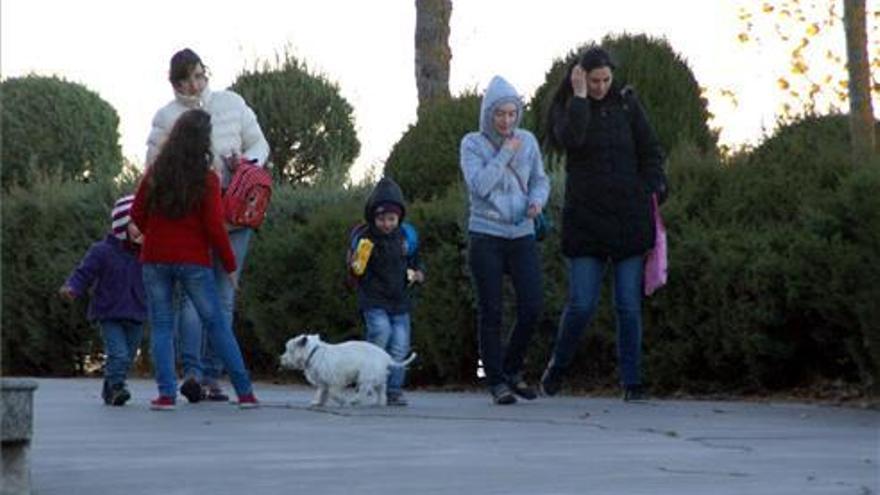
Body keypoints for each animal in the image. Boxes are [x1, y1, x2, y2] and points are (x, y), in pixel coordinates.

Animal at [282, 334, 420, 406]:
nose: (281, 359)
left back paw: (355, 400)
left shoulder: (335, 380)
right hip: (377, 377)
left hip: (366, 376)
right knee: (380, 390)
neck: (313, 352)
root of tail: (386, 356)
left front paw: (342, 401)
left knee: (364, 389)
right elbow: (321, 392)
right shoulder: (324, 381)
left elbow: (333, 392)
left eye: (289, 350)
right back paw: (379, 402)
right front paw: (318, 402)